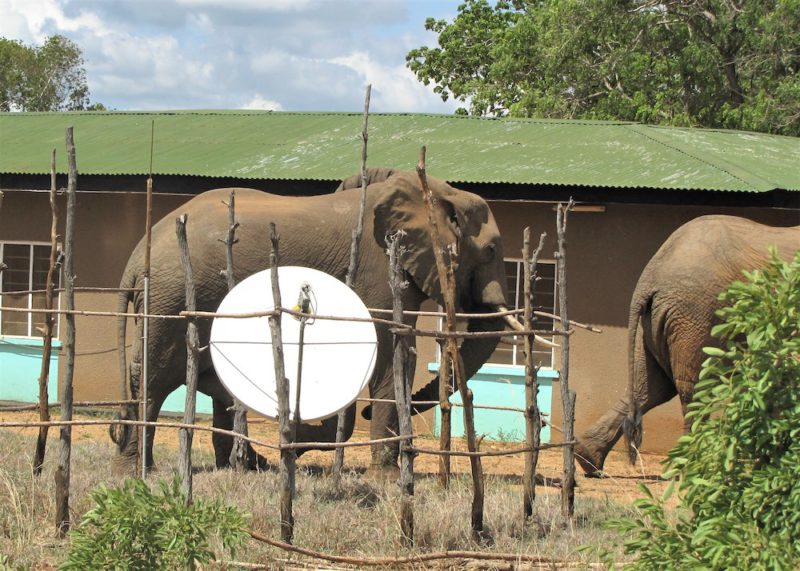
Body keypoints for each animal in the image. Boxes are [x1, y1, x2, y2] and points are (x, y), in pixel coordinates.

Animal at [112, 169, 536, 474]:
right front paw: (386, 477)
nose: (362, 413)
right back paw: (134, 472)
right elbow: (393, 352)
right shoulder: (378, 270)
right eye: (491, 250)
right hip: (172, 302)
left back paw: (234, 467)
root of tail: (134, 260)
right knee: (155, 379)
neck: (434, 190)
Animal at [576, 214, 800, 478]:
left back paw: (588, 459)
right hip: (697, 316)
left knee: (651, 388)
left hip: (657, 322)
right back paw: (694, 470)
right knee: (695, 389)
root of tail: (649, 277)